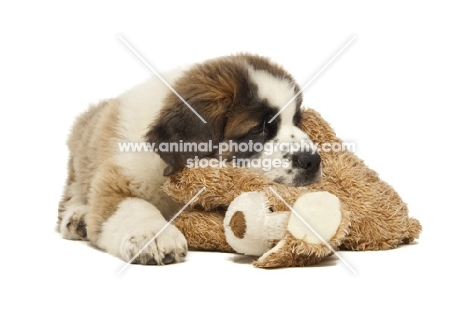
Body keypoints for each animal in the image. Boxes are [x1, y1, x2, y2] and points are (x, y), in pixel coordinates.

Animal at [56, 52, 322, 264]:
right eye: (258, 129)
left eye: (297, 120)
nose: (313, 161)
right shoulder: (119, 176)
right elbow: (133, 205)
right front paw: (153, 234)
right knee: (73, 194)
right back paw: (77, 218)